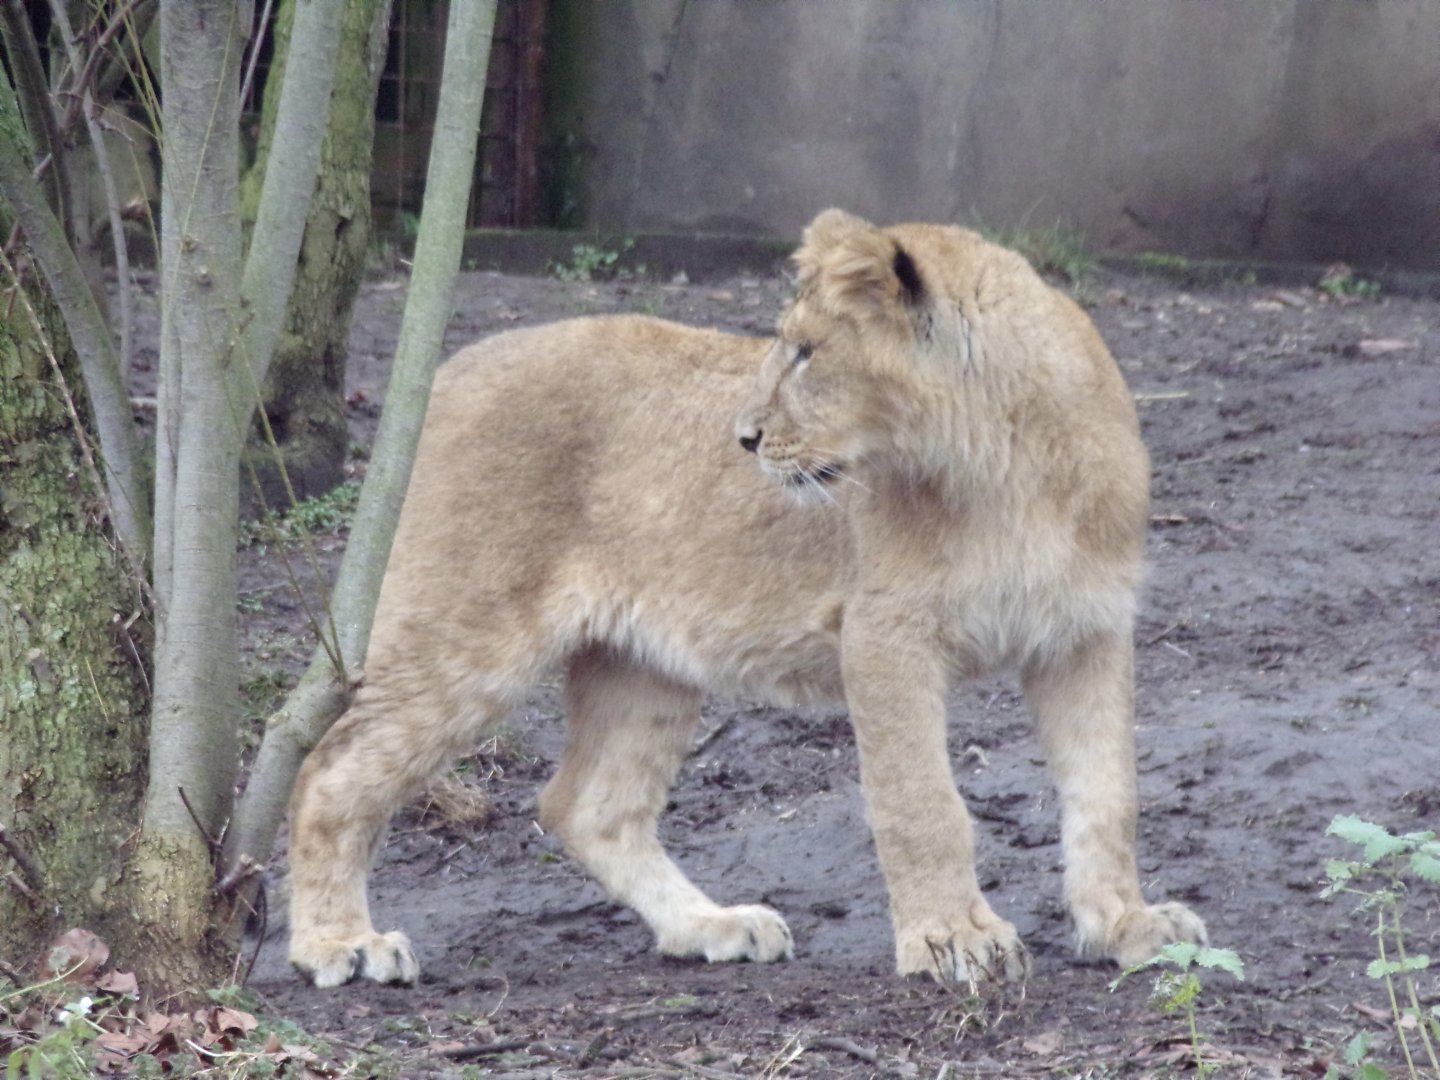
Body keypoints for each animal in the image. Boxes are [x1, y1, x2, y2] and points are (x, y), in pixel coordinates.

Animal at [286, 208, 1208, 989]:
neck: (1006, 466)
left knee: (588, 806)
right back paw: (339, 944)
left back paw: (708, 926)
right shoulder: (885, 634)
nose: (745, 438)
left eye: (804, 353)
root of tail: (447, 369)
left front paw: (1126, 925)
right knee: (329, 769)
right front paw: (953, 938)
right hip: (466, 633)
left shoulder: (1087, 632)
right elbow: (922, 801)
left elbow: (1108, 793)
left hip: (642, 662)